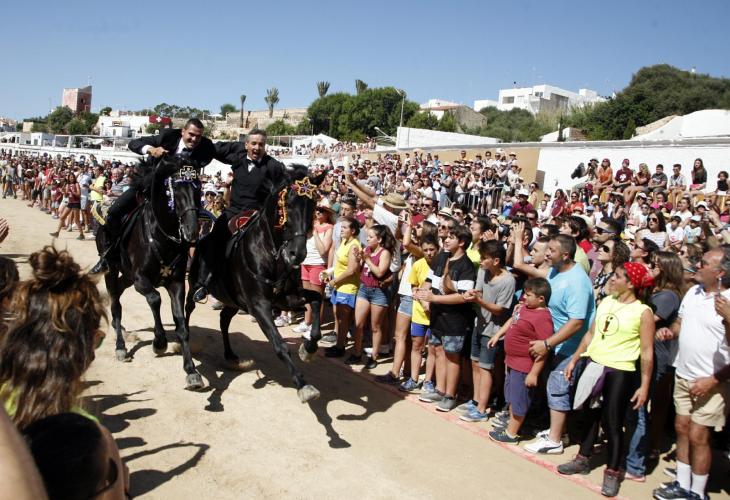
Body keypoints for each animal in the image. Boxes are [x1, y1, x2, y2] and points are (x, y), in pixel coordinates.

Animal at [96, 154, 203, 388]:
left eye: (198, 188)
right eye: (176, 189)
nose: (192, 231)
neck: (163, 237)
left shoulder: (176, 283)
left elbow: (181, 323)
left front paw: (191, 371)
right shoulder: (141, 279)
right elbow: (155, 299)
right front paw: (159, 341)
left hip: (126, 276)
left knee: (119, 291)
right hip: (112, 270)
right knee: (116, 304)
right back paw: (120, 346)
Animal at [185, 166, 324, 404]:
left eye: (313, 204)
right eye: (287, 203)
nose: (297, 254)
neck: (269, 252)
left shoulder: (287, 299)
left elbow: (317, 301)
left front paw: (309, 349)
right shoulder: (260, 306)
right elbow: (280, 345)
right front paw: (303, 385)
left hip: (233, 301)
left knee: (224, 319)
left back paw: (230, 355)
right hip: (195, 285)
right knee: (186, 311)